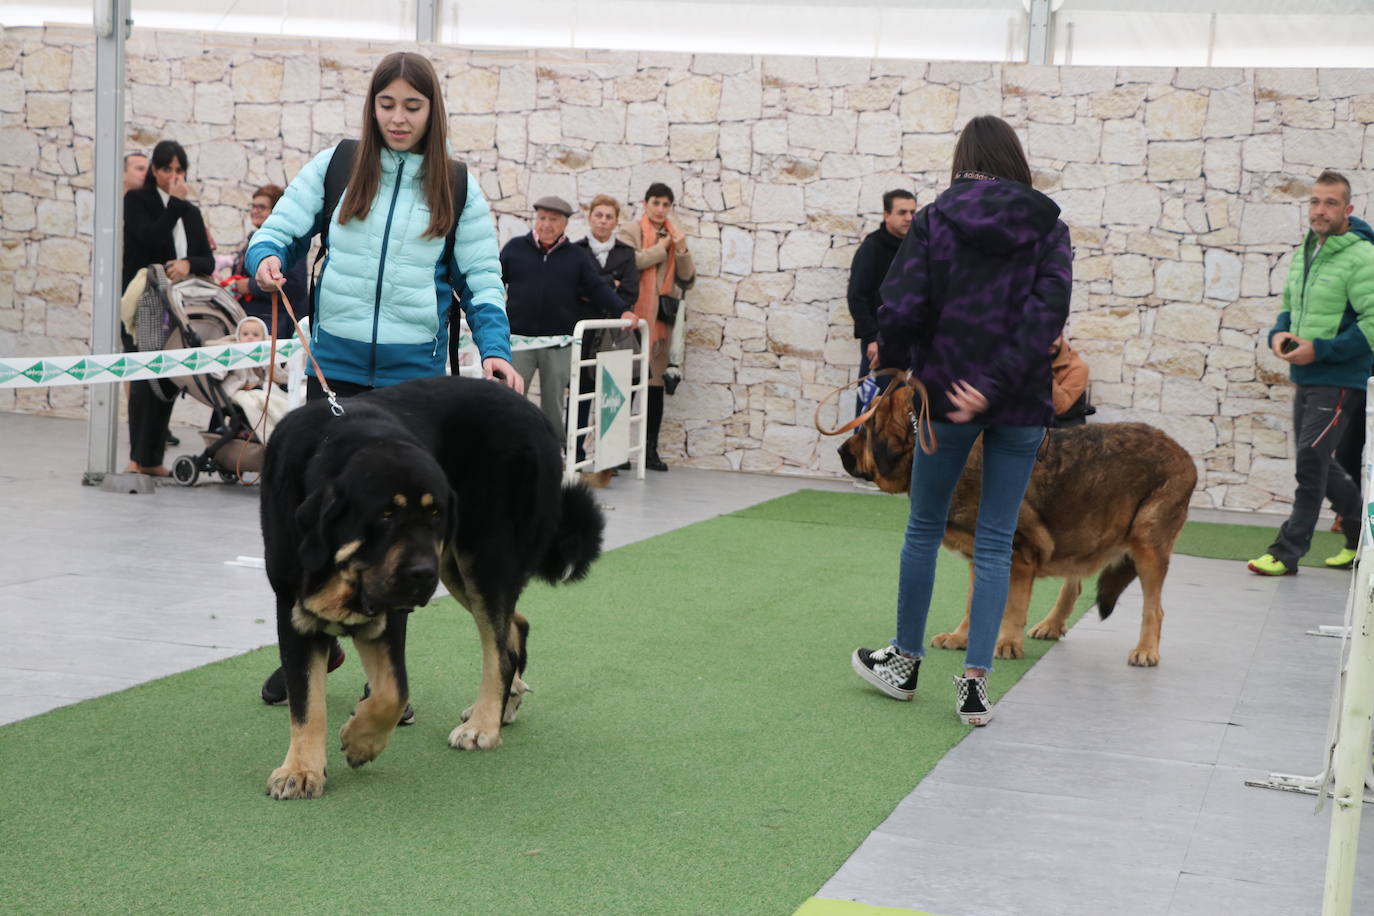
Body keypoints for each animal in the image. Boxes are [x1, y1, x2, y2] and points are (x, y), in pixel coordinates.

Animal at [258, 376, 601, 796]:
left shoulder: (388, 612)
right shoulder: (295, 608)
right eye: (386, 515)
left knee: (500, 651)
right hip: (456, 569)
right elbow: (307, 701)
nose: (422, 572)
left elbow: (393, 691)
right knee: (515, 626)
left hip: (481, 558)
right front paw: (302, 769)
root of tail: (538, 415)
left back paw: (482, 726)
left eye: (436, 514)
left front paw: (360, 740)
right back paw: (504, 705)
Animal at [829, 387, 1198, 667]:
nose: (839, 450)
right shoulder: (980, 558)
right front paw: (961, 637)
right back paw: (1051, 624)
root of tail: (1185, 453)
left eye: (864, 430)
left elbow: (1013, 605)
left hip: (1148, 544)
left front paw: (1006, 643)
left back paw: (1146, 650)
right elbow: (973, 603)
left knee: (1155, 608)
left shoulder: (1018, 554)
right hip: (1085, 526)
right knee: (1075, 582)